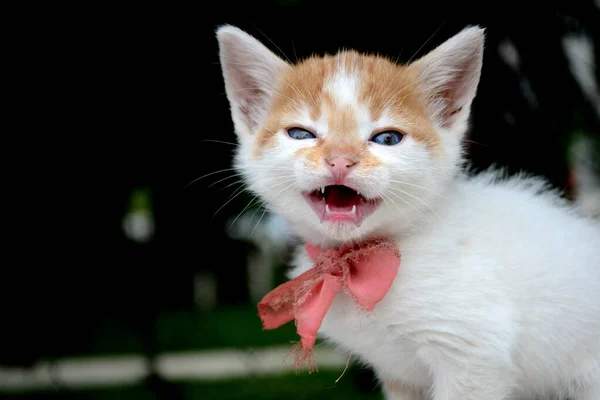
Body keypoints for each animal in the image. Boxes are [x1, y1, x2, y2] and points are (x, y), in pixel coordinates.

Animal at [216, 23, 600, 398]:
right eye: (300, 134)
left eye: (387, 139)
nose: (340, 160)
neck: (368, 259)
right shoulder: (401, 376)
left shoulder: (474, 356)